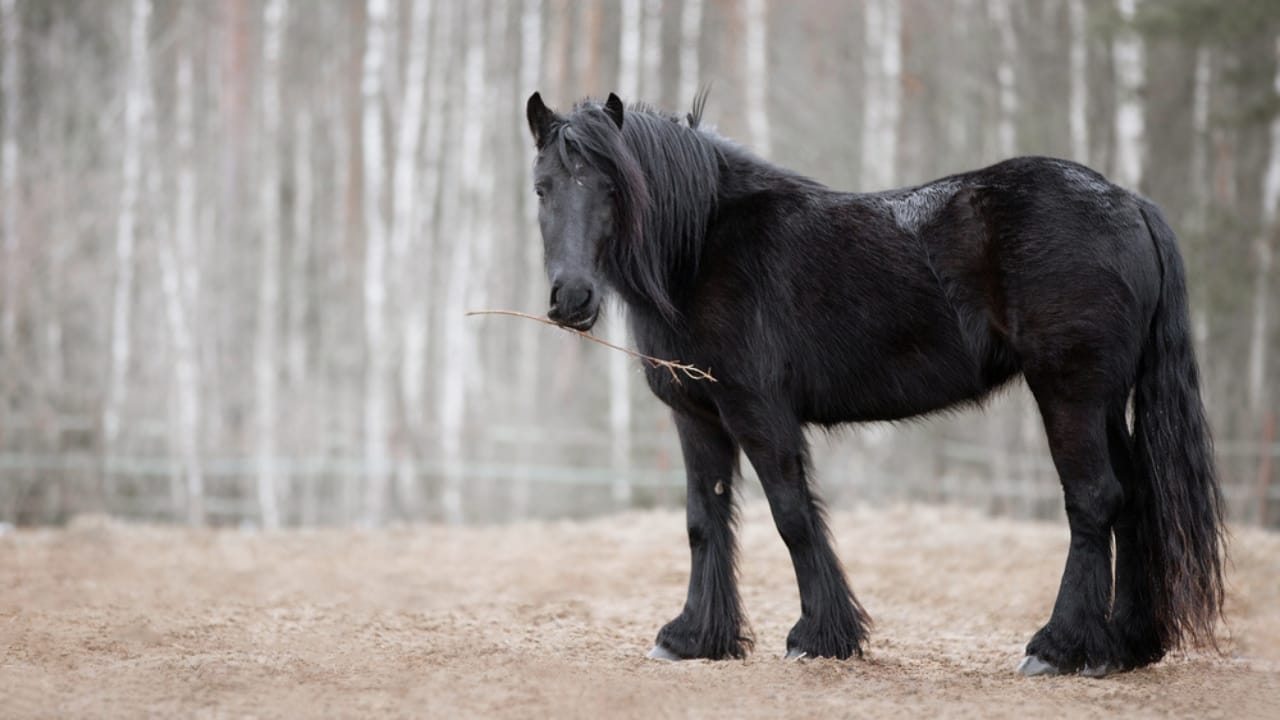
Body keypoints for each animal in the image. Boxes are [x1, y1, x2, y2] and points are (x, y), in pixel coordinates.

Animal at [523, 90, 1225, 677]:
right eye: (541, 188)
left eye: (610, 185)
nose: (571, 299)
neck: (705, 246)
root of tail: (1130, 203)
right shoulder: (697, 415)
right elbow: (705, 517)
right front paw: (694, 638)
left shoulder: (757, 410)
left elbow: (791, 514)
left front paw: (818, 635)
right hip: (1106, 403)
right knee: (1134, 499)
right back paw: (1125, 646)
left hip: (1070, 394)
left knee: (1094, 500)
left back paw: (1058, 648)